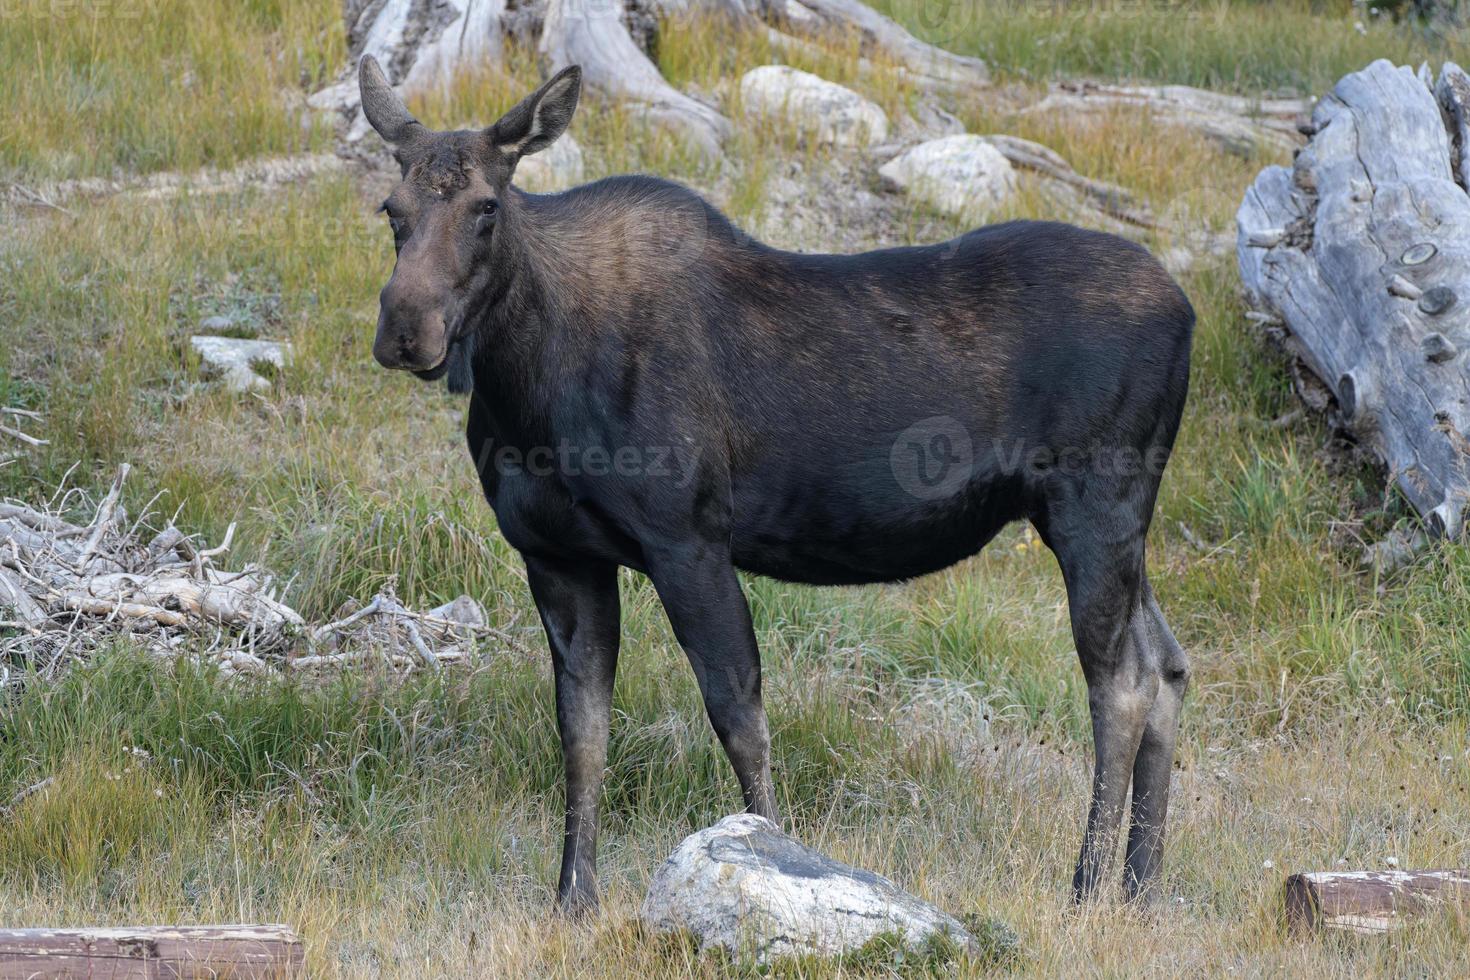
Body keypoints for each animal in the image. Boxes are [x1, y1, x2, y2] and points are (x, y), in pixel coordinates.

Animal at [355, 55, 1193, 910]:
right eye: (392, 208)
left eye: (487, 207)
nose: (406, 327)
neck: (525, 388)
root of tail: (1188, 313)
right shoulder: (557, 553)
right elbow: (583, 734)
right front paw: (573, 902)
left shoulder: (687, 538)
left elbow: (739, 716)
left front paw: (773, 860)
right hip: (1109, 526)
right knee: (1167, 666)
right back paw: (1141, 886)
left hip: (1093, 507)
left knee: (1124, 682)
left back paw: (1088, 886)